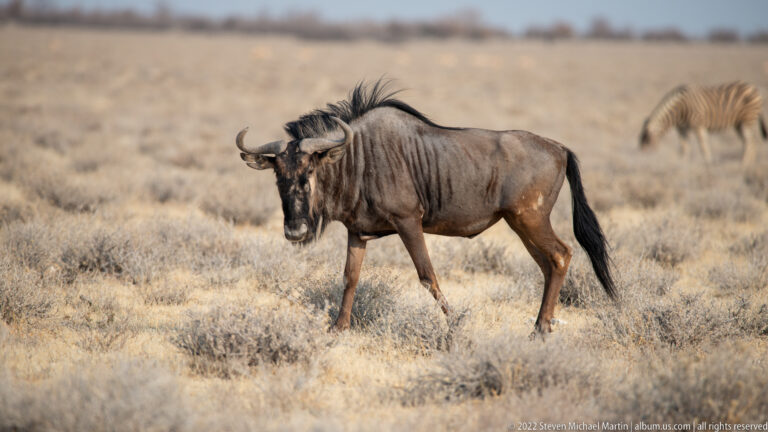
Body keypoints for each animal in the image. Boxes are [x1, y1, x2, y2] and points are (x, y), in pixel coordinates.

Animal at [639, 81, 767, 165]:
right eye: (641, 140)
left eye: (647, 141)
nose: (642, 156)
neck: (680, 110)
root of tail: (756, 89)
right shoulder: (682, 129)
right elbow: (684, 147)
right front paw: (683, 163)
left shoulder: (698, 125)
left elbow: (703, 145)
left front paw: (708, 162)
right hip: (738, 124)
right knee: (748, 141)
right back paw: (748, 163)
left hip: (747, 120)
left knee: (750, 141)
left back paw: (744, 164)